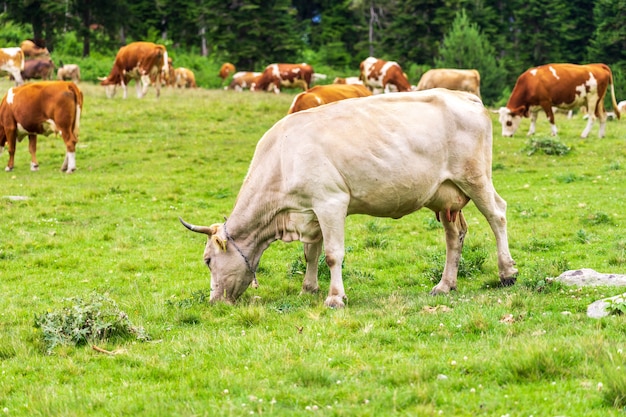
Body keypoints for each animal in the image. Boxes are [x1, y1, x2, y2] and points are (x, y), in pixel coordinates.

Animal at [178, 89, 516, 308]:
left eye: (208, 260)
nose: (214, 301)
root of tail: (464, 96)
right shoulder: (309, 210)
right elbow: (310, 253)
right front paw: (308, 289)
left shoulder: (331, 202)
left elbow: (332, 254)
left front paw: (335, 297)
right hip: (444, 196)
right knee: (454, 236)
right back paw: (445, 285)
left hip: (474, 178)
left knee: (497, 214)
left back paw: (507, 272)